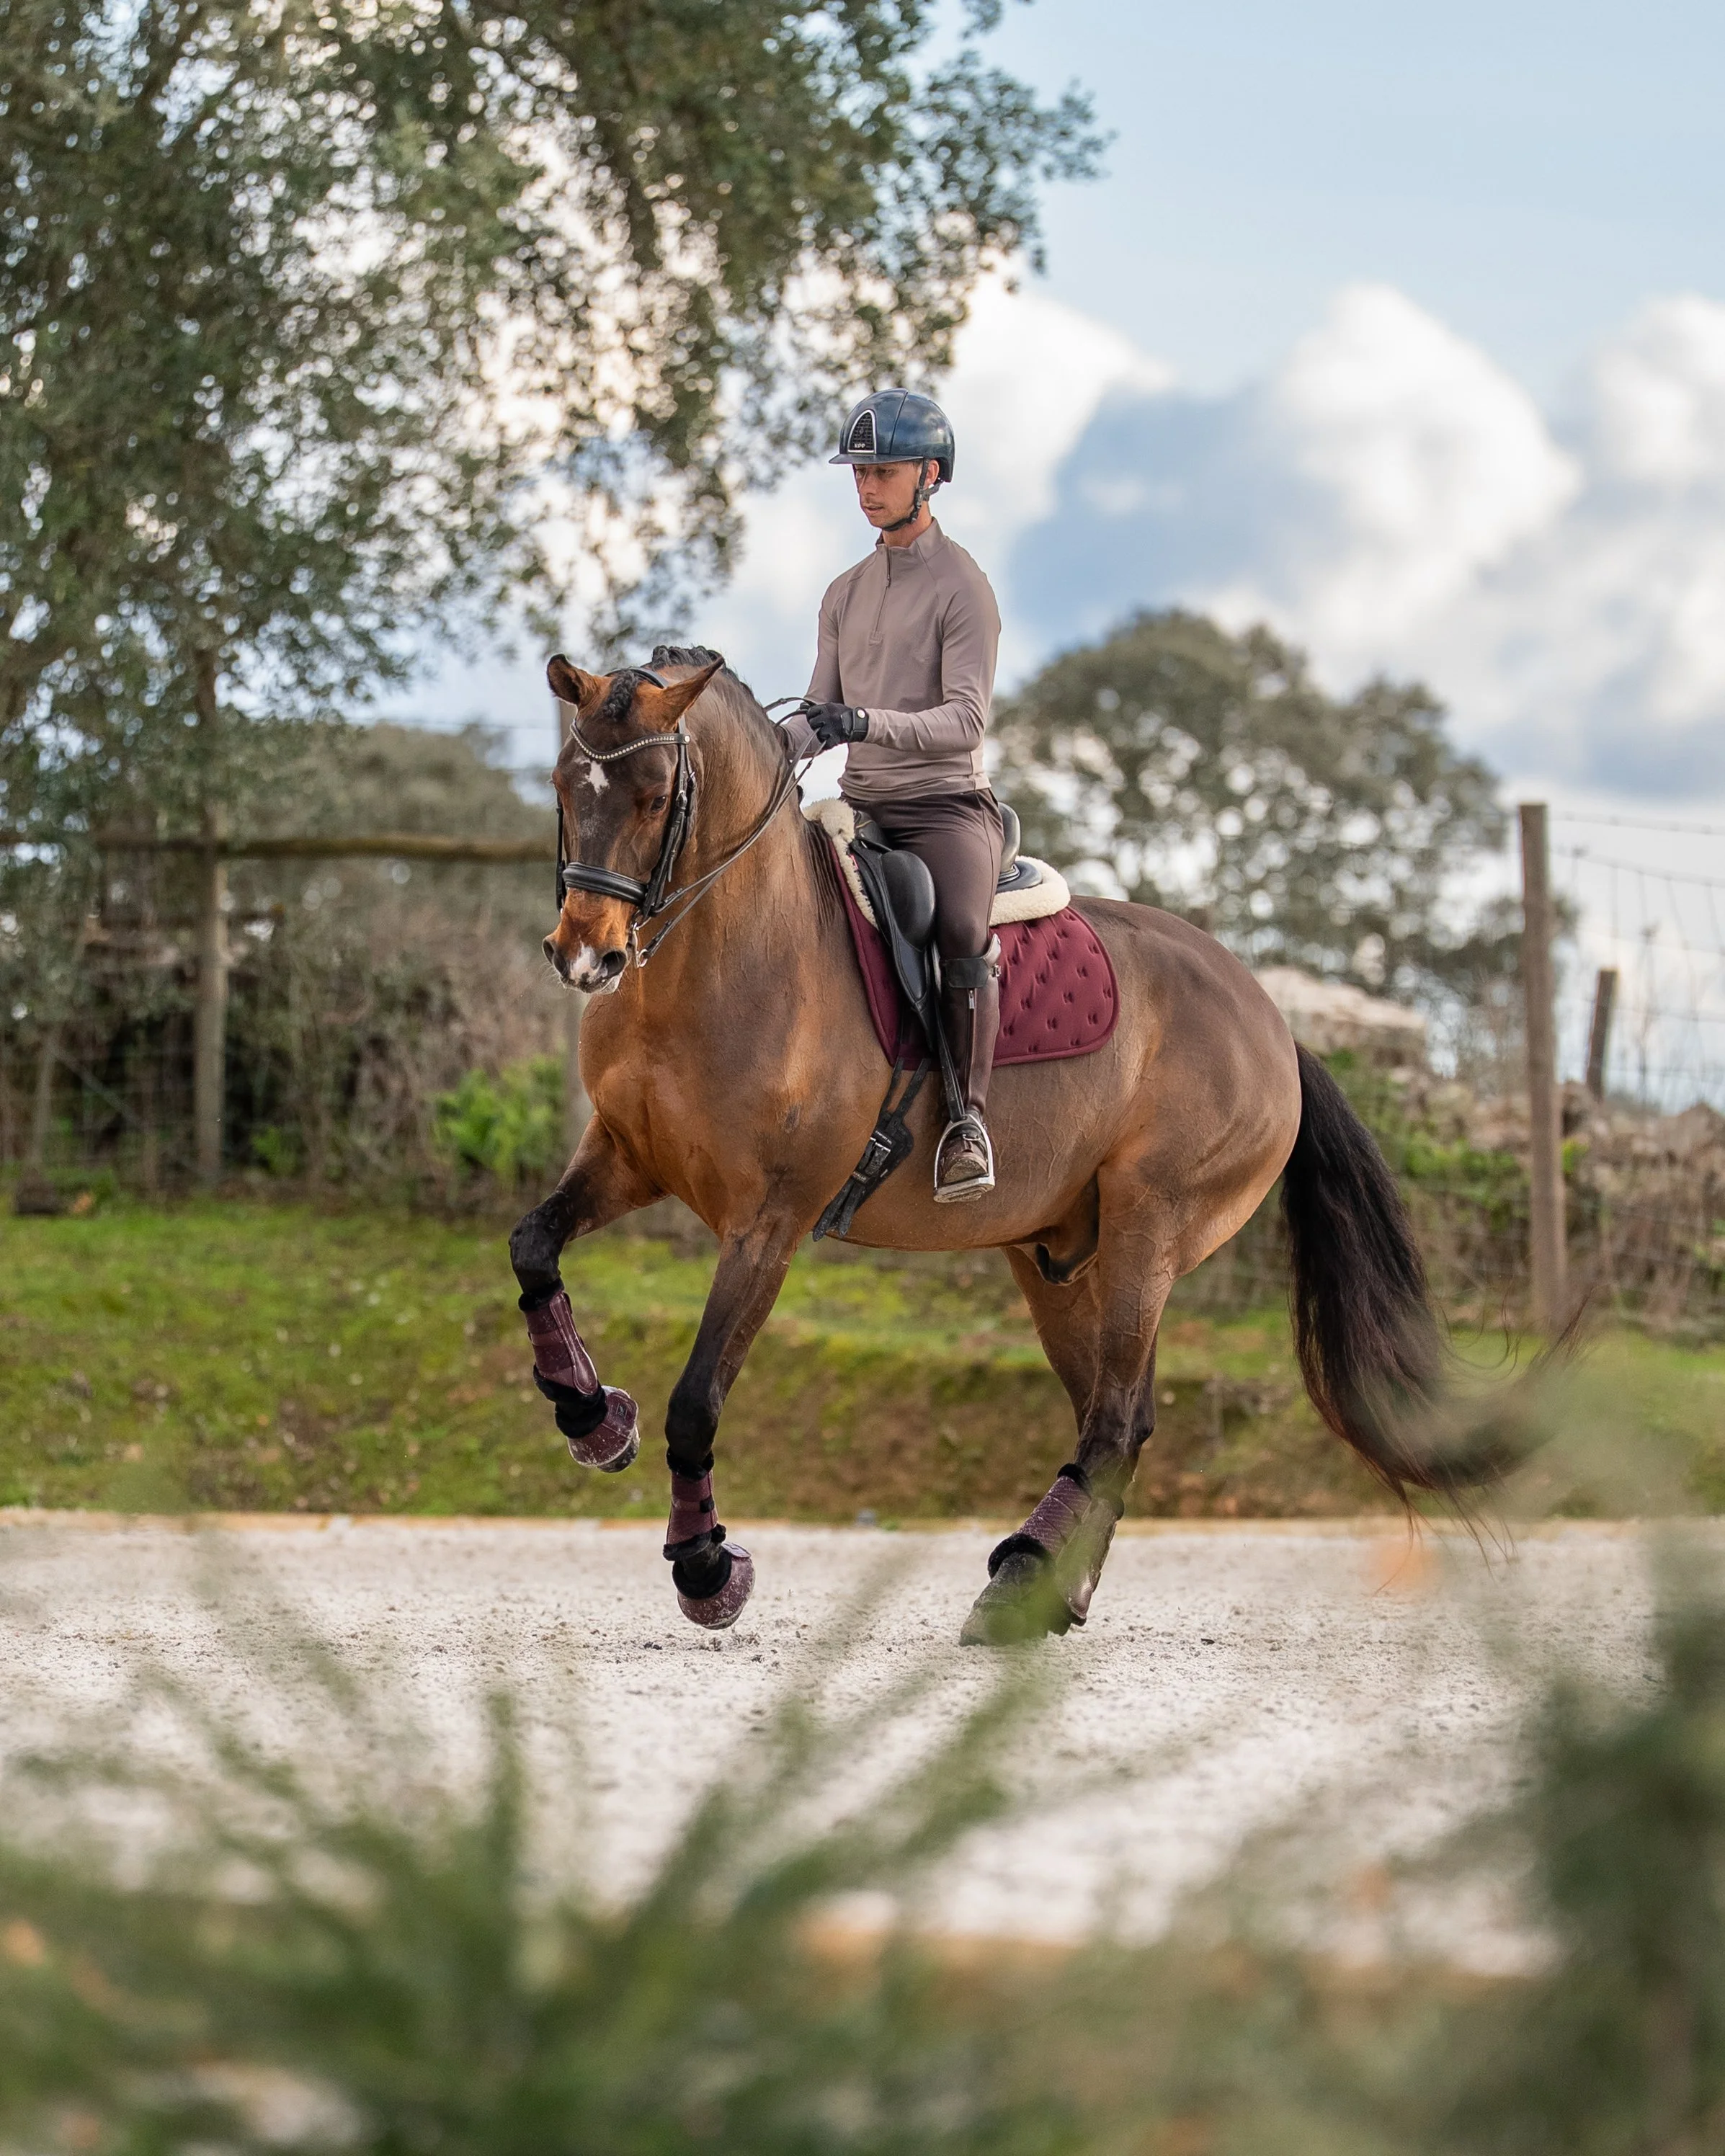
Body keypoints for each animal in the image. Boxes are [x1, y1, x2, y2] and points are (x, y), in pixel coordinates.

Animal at [509, 647, 1516, 1644]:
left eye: (652, 798)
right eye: (564, 784)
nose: (585, 956)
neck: (724, 959)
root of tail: (1269, 1015)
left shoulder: (769, 1223)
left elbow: (695, 1399)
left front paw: (707, 1567)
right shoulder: (627, 1156)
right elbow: (532, 1246)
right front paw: (592, 1416)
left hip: (1151, 1227)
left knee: (1115, 1420)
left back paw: (1020, 1579)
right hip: (1057, 1257)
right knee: (1116, 1416)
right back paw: (1050, 1590)